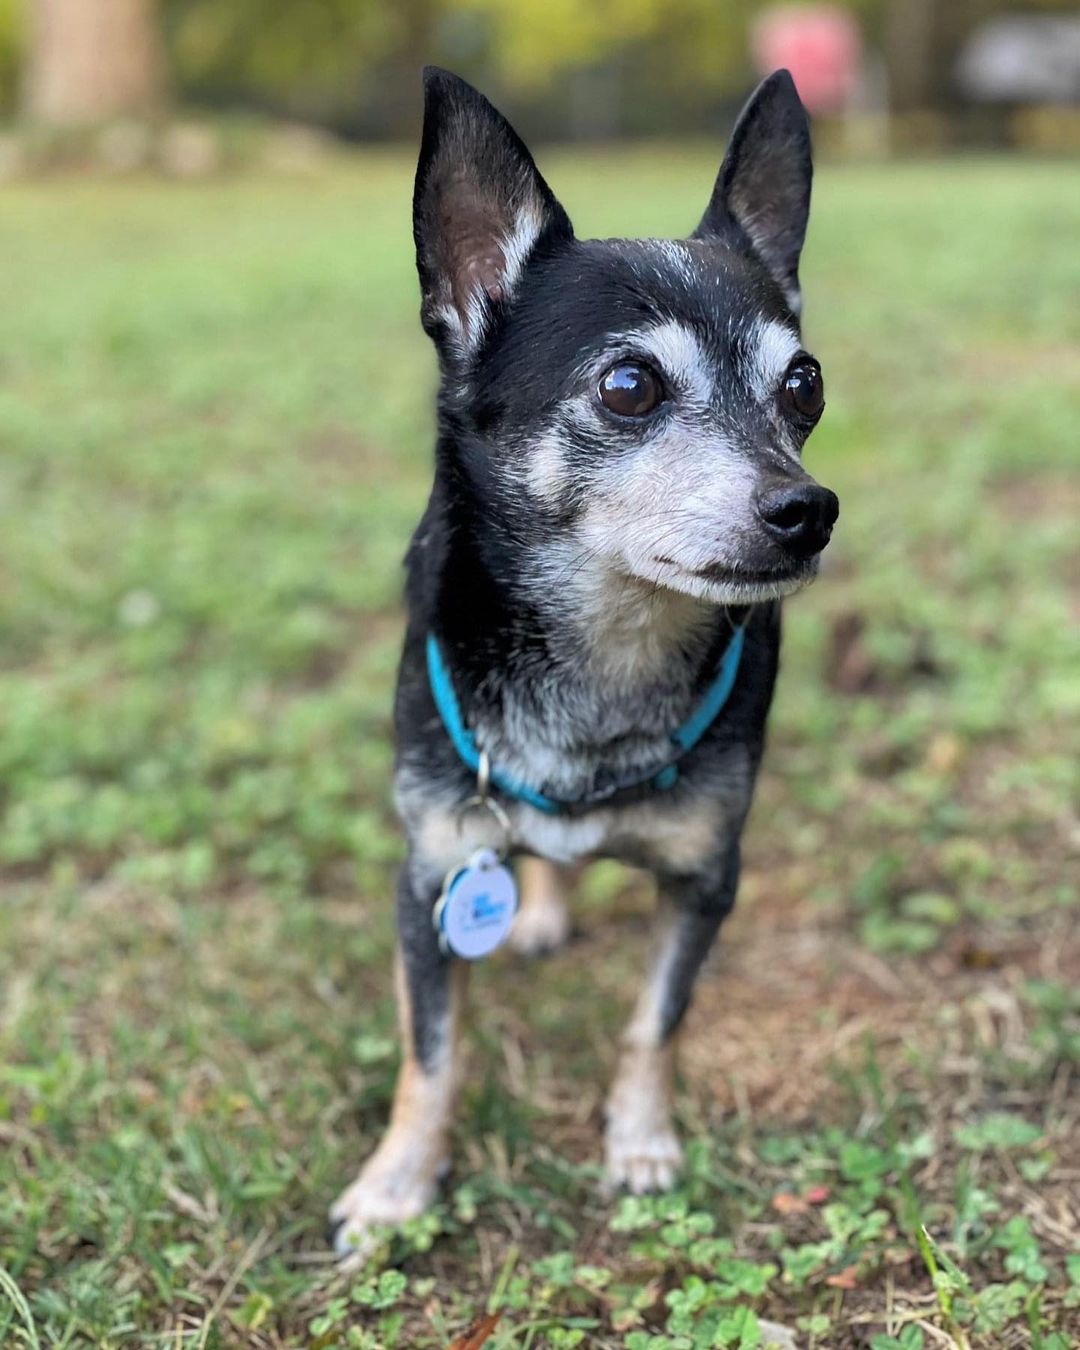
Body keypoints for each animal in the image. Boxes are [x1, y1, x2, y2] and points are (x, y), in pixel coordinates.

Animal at [329, 60, 837, 1242]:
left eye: (805, 387)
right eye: (629, 386)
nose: (810, 509)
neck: (605, 653)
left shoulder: (705, 878)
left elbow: (656, 1022)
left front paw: (640, 1143)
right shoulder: (431, 875)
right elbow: (432, 1054)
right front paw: (398, 1182)